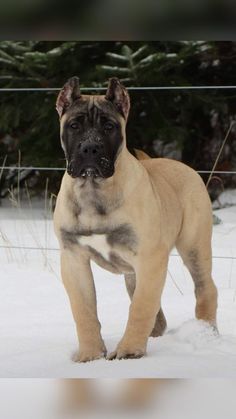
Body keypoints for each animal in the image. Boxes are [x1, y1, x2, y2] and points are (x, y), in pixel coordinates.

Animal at [54, 77, 218, 362]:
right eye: (74, 125)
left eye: (109, 126)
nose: (90, 148)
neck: (93, 189)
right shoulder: (74, 258)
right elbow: (84, 311)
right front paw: (90, 355)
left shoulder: (149, 257)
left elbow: (141, 307)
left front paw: (129, 351)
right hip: (135, 270)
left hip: (193, 246)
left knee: (204, 288)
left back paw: (205, 333)